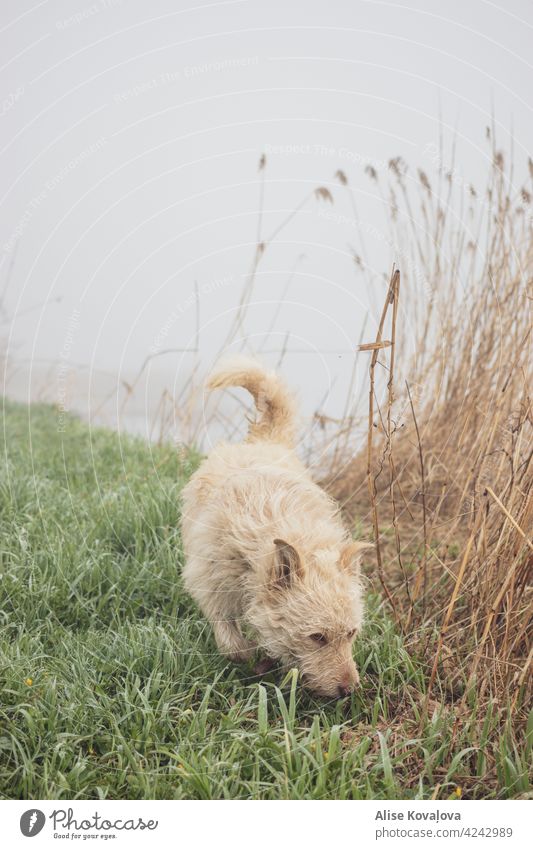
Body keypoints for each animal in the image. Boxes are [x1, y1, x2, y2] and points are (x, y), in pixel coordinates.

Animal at [181, 356, 368, 696]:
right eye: (317, 637)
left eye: (351, 633)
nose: (349, 690)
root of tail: (264, 439)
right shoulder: (209, 579)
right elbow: (230, 640)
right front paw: (249, 653)